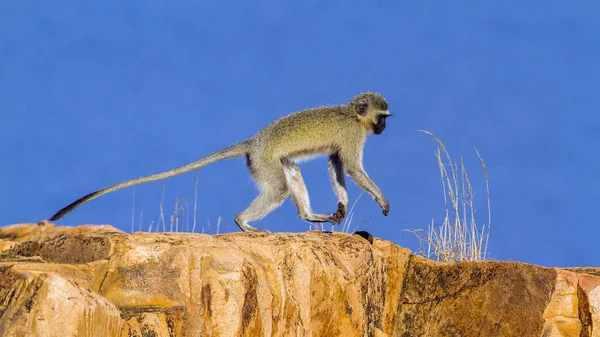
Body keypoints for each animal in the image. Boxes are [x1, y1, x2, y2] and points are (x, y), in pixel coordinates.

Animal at [49, 92, 392, 231]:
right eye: (383, 117)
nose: (384, 128)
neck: (352, 115)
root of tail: (253, 142)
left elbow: (336, 166)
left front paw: (343, 206)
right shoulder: (352, 134)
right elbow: (351, 167)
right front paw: (381, 198)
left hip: (264, 161)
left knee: (291, 170)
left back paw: (307, 215)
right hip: (262, 161)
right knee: (278, 188)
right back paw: (243, 222)